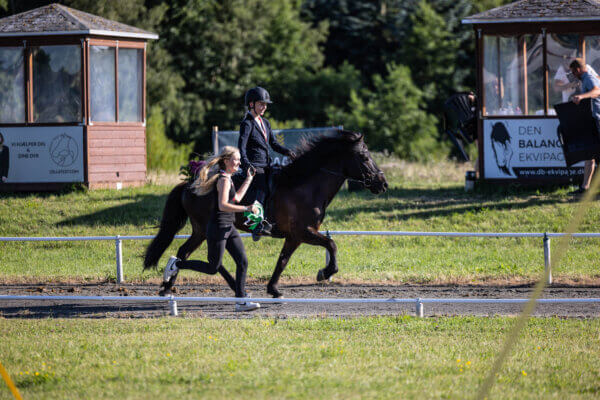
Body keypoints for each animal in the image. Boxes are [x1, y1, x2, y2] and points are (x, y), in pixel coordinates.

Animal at [145, 131, 390, 296]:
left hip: (202, 231)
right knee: (196, 256)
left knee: (187, 253)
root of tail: (189, 185)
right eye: (364, 157)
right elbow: (332, 244)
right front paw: (325, 272)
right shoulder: (304, 232)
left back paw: (171, 286)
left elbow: (283, 260)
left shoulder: (294, 237)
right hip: (205, 229)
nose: (383, 183)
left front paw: (273, 289)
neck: (306, 186)